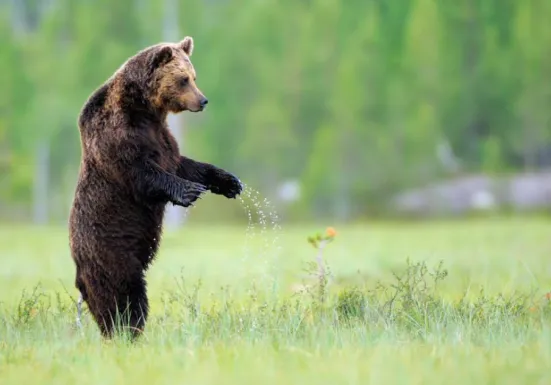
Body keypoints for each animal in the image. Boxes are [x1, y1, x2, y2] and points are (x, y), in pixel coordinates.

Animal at [68, 37, 242, 340]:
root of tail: (78, 270)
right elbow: (143, 173)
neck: (145, 109)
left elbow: (182, 163)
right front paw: (190, 191)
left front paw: (229, 182)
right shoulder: (117, 136)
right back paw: (126, 331)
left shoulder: (162, 137)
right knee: (122, 294)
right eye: (183, 79)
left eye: (194, 76)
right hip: (111, 252)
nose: (203, 100)